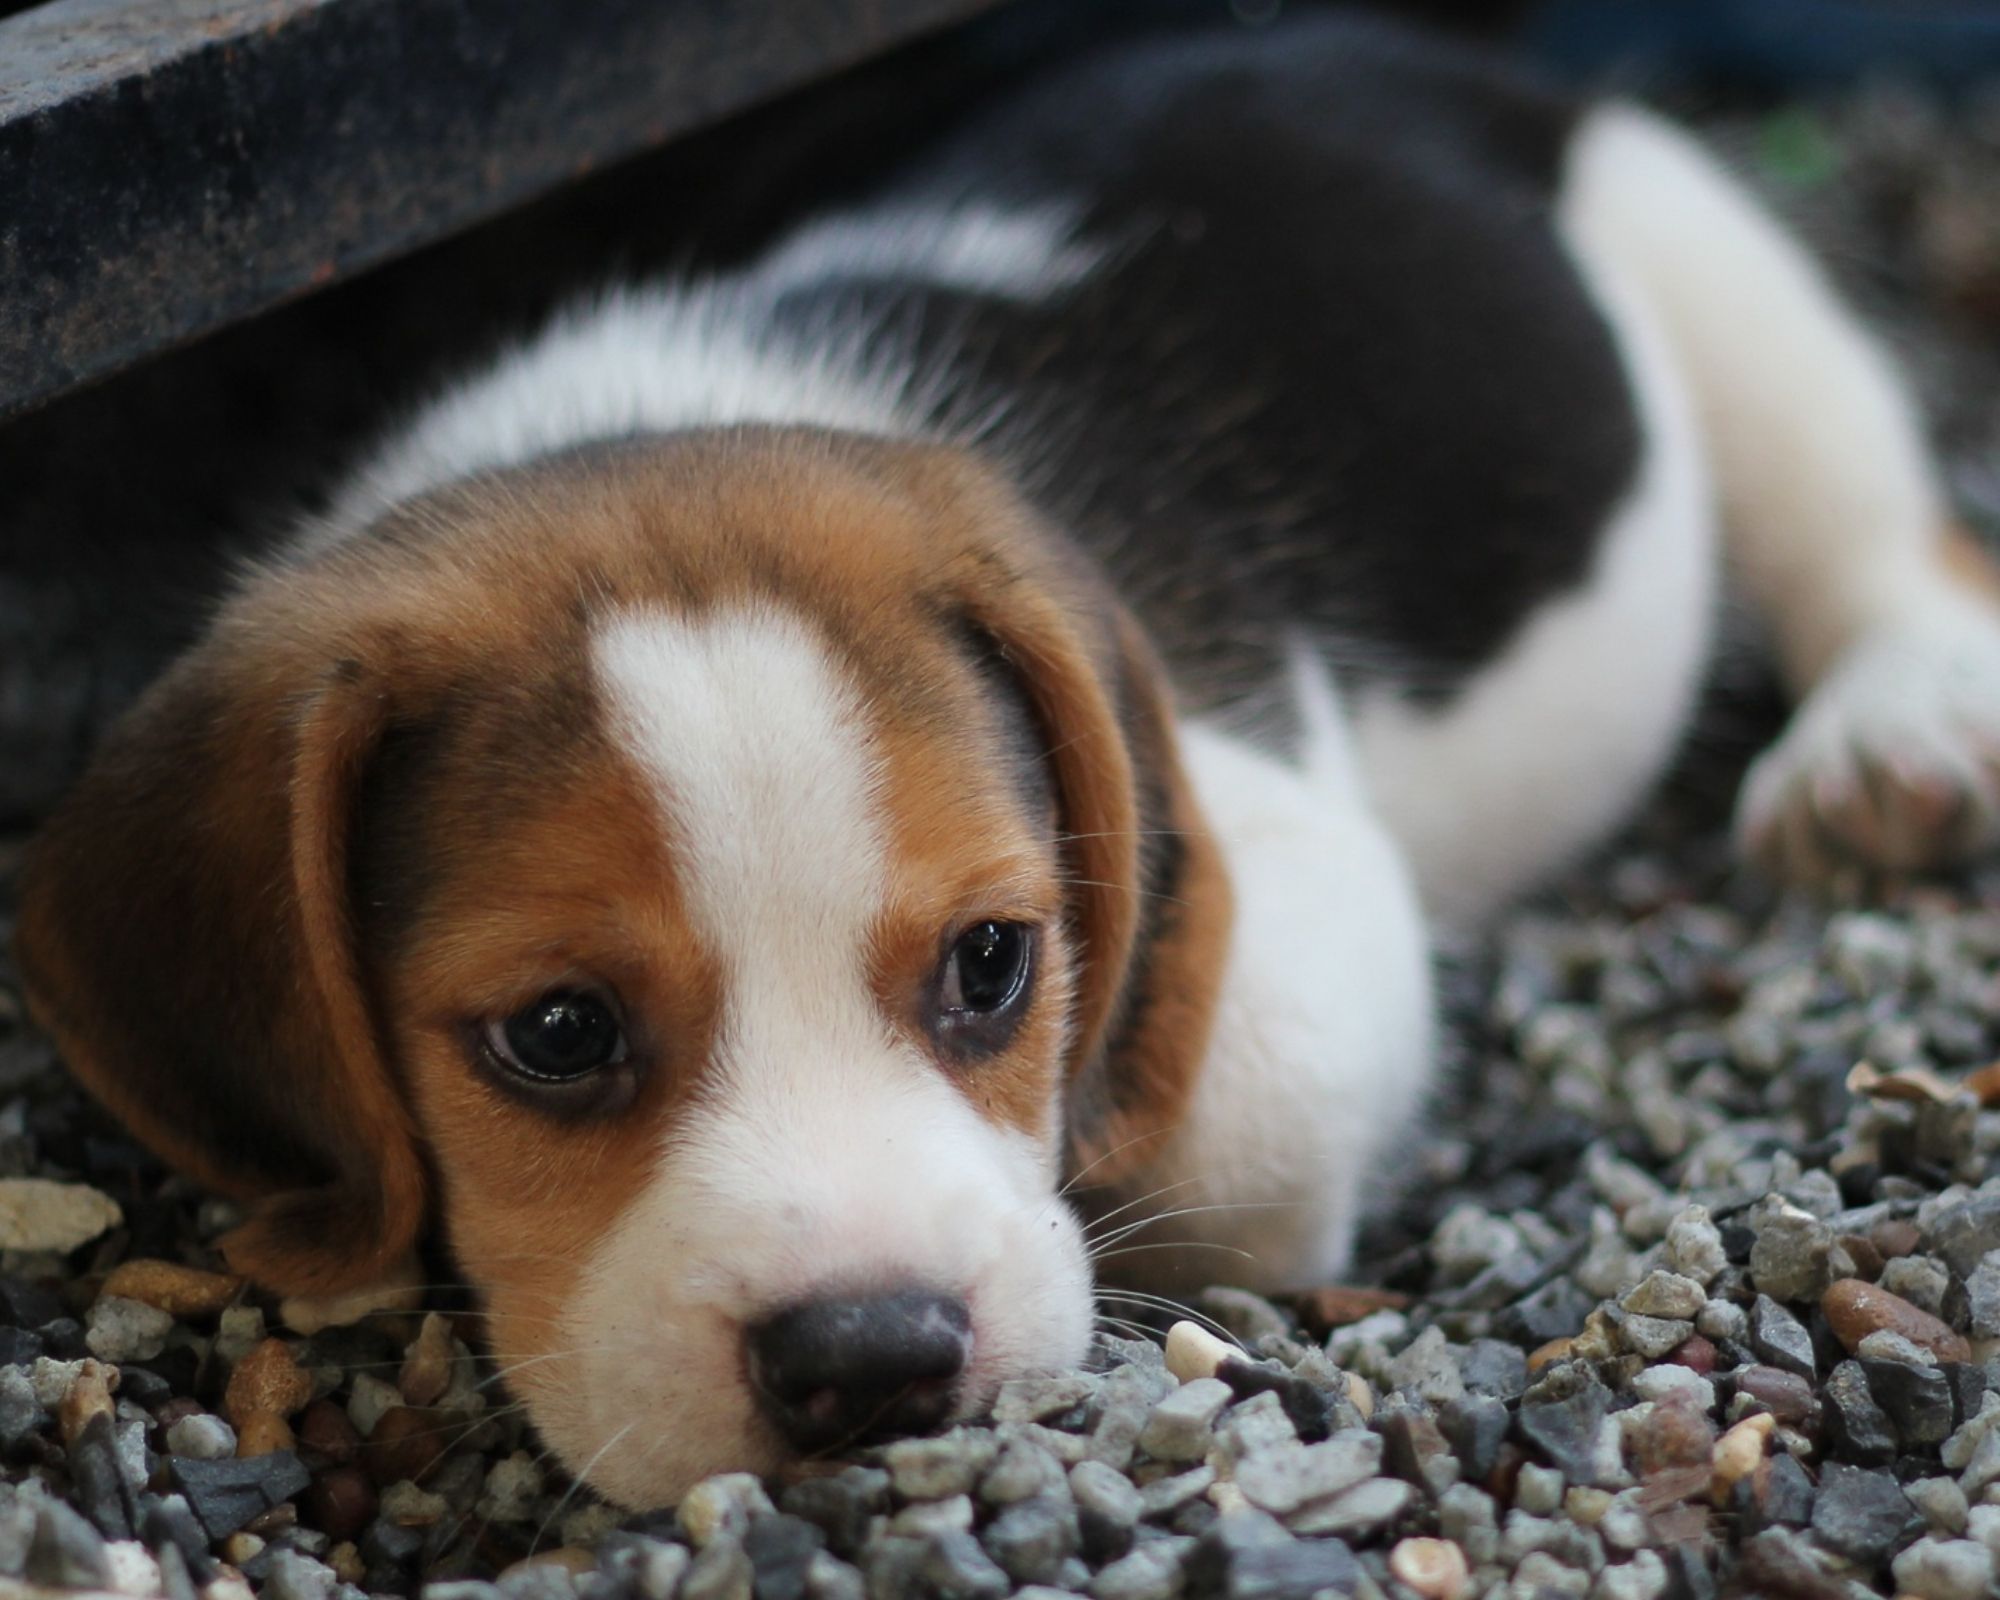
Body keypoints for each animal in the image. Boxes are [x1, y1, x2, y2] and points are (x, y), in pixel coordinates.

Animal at [15, 15, 2000, 1512]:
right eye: (557, 1035)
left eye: (992, 965)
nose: (873, 1360)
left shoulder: (1287, 867)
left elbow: (1216, 1110)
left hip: (1701, 257)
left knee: (1876, 533)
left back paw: (1891, 742)